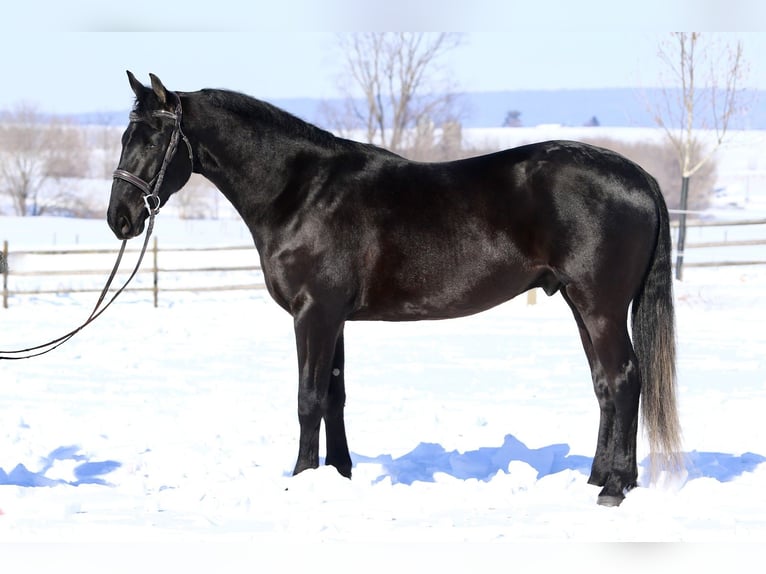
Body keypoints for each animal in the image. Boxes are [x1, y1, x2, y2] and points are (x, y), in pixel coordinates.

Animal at [107, 71, 682, 506]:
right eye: (125, 137)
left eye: (153, 139)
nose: (120, 218)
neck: (301, 192)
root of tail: (639, 177)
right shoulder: (333, 318)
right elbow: (335, 396)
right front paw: (339, 474)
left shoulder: (313, 314)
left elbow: (308, 399)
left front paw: (301, 478)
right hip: (580, 304)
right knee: (605, 385)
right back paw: (599, 478)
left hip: (600, 307)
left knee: (623, 378)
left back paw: (614, 488)